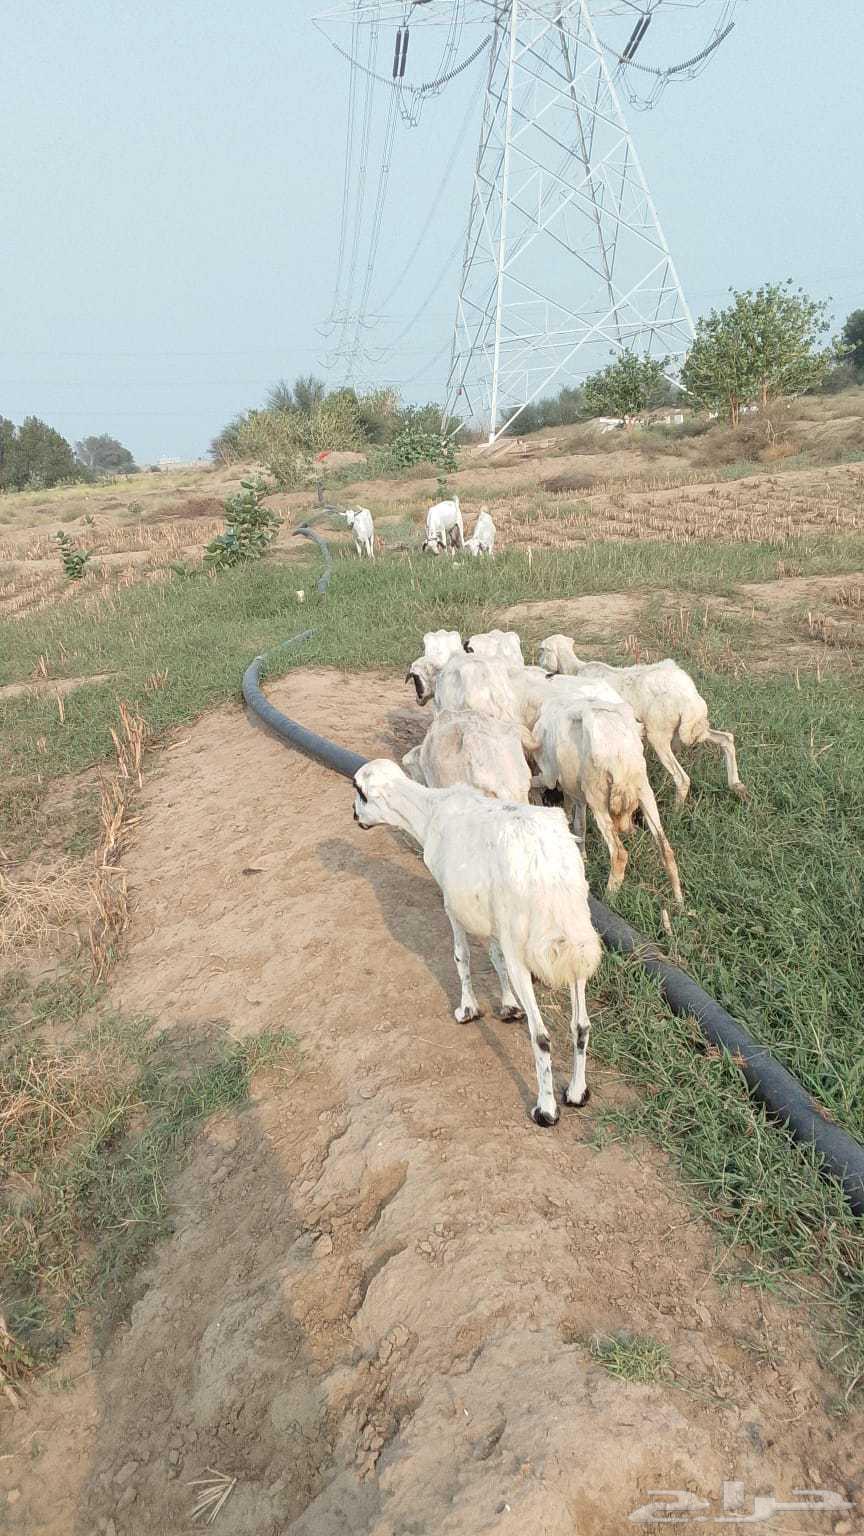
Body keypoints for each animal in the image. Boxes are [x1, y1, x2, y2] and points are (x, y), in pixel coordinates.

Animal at [352, 760, 603, 1124]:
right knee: (581, 1024)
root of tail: (548, 870)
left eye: (358, 792)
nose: (354, 816)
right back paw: (576, 1093)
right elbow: (494, 958)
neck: (428, 812)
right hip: (574, 940)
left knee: (541, 1036)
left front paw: (467, 1009)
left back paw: (545, 1110)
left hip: (528, 948)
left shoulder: (451, 903)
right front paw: (509, 1006)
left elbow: (461, 956)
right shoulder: (496, 921)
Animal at [530, 695, 683, 906]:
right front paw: (583, 856)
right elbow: (579, 825)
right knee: (666, 849)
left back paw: (610, 897)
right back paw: (680, 902)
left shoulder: (550, 776)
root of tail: (620, 760)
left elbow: (534, 782)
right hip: (644, 791)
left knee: (619, 854)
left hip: (598, 798)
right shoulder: (577, 794)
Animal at [538, 635, 746, 803]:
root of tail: (691, 700)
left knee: (682, 779)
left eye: (542, 650)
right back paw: (737, 786)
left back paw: (676, 813)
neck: (575, 669)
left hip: (659, 733)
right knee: (727, 739)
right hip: (696, 728)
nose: (541, 665)